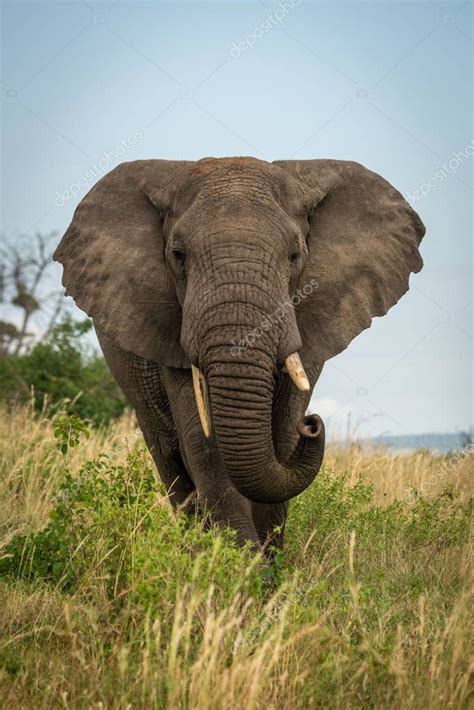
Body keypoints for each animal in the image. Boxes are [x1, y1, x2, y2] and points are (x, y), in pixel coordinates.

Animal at [52, 159, 426, 552]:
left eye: (295, 256)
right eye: (178, 255)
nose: (313, 423)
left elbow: (281, 438)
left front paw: (266, 565)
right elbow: (204, 445)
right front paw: (239, 563)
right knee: (169, 456)